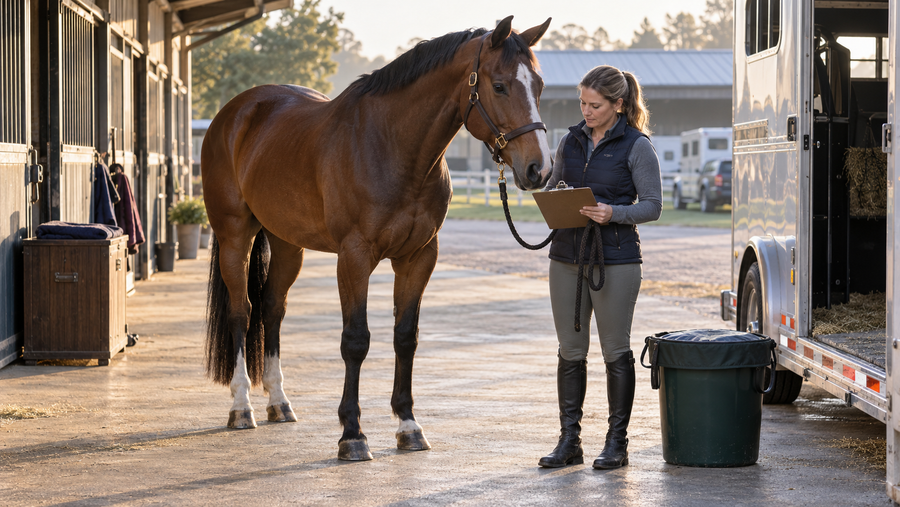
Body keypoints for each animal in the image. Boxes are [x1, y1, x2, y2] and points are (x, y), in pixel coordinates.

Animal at [201, 15, 553, 461]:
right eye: (501, 85)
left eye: (538, 85)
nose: (539, 168)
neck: (393, 147)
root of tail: (235, 113)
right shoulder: (354, 257)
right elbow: (356, 340)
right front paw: (352, 434)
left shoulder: (419, 257)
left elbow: (405, 337)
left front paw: (409, 425)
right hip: (234, 235)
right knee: (241, 312)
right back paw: (241, 406)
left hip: (287, 243)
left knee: (272, 307)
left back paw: (279, 403)